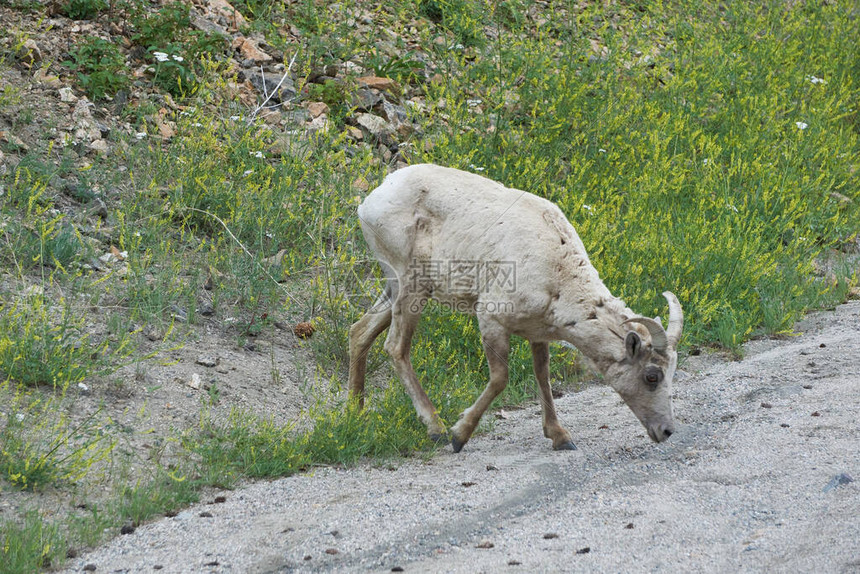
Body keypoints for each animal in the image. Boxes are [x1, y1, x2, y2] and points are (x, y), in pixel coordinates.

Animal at [346, 164, 680, 452]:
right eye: (652, 376)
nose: (666, 431)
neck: (558, 274)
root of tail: (371, 200)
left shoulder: (538, 333)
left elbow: (543, 375)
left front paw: (561, 437)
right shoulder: (491, 317)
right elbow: (500, 378)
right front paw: (459, 436)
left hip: (397, 287)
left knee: (360, 331)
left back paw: (356, 413)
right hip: (410, 284)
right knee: (395, 347)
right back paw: (436, 429)